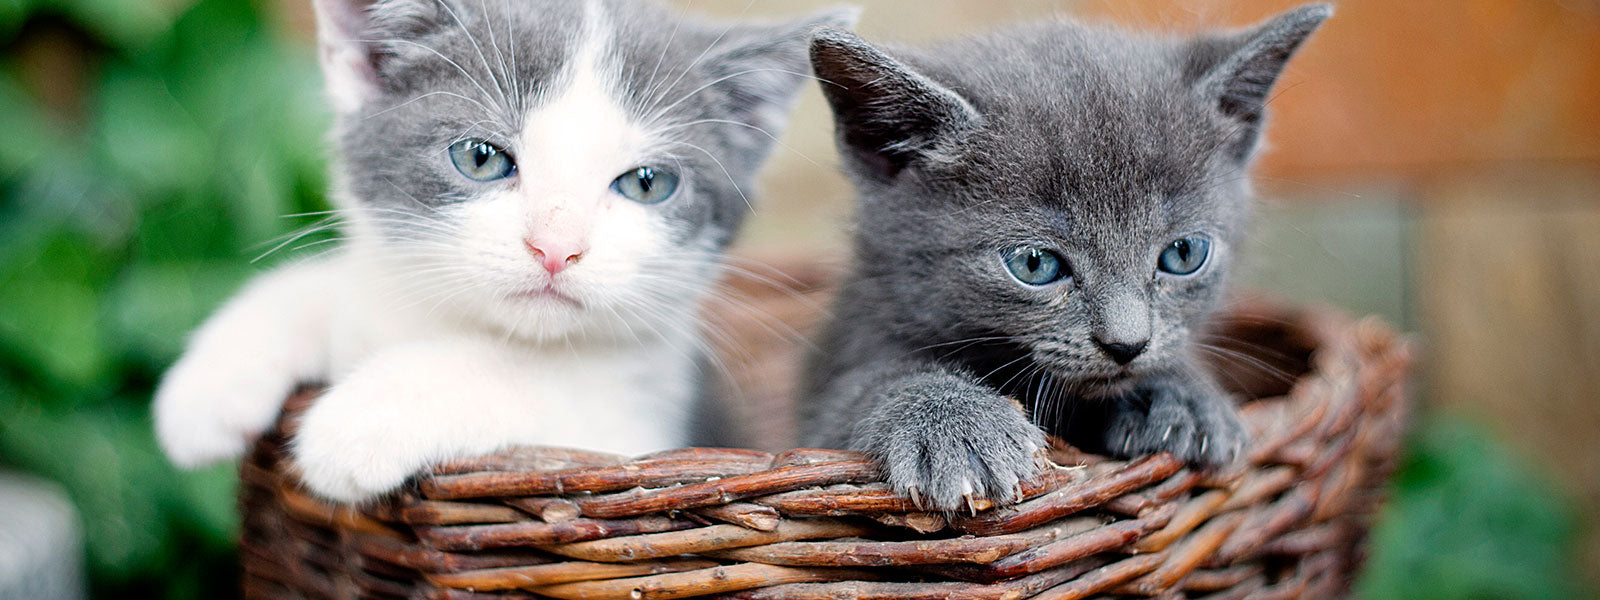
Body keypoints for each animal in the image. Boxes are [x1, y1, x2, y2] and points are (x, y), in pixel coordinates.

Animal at [151, 0, 857, 502]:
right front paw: (208, 386)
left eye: (647, 183)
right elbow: (322, 284)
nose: (556, 248)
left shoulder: (646, 432)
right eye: (480, 158)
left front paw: (361, 419)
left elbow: (541, 383)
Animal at [806, 4, 1331, 512]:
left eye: (1184, 254)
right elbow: (858, 390)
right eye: (1035, 264)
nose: (1127, 344)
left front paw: (1183, 396)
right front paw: (955, 423)